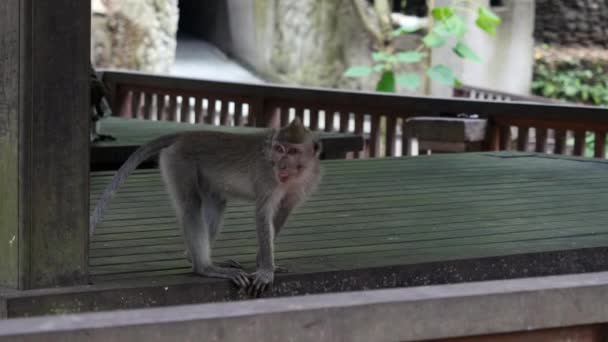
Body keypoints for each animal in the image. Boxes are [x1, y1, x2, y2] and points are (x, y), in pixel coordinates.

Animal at [89, 118, 324, 296]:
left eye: (292, 151)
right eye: (279, 149)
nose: (281, 165)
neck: (295, 175)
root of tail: (185, 135)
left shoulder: (306, 182)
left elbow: (283, 211)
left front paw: (264, 264)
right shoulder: (268, 176)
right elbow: (262, 214)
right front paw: (266, 270)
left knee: (217, 202)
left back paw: (195, 258)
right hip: (178, 162)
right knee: (191, 206)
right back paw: (205, 268)